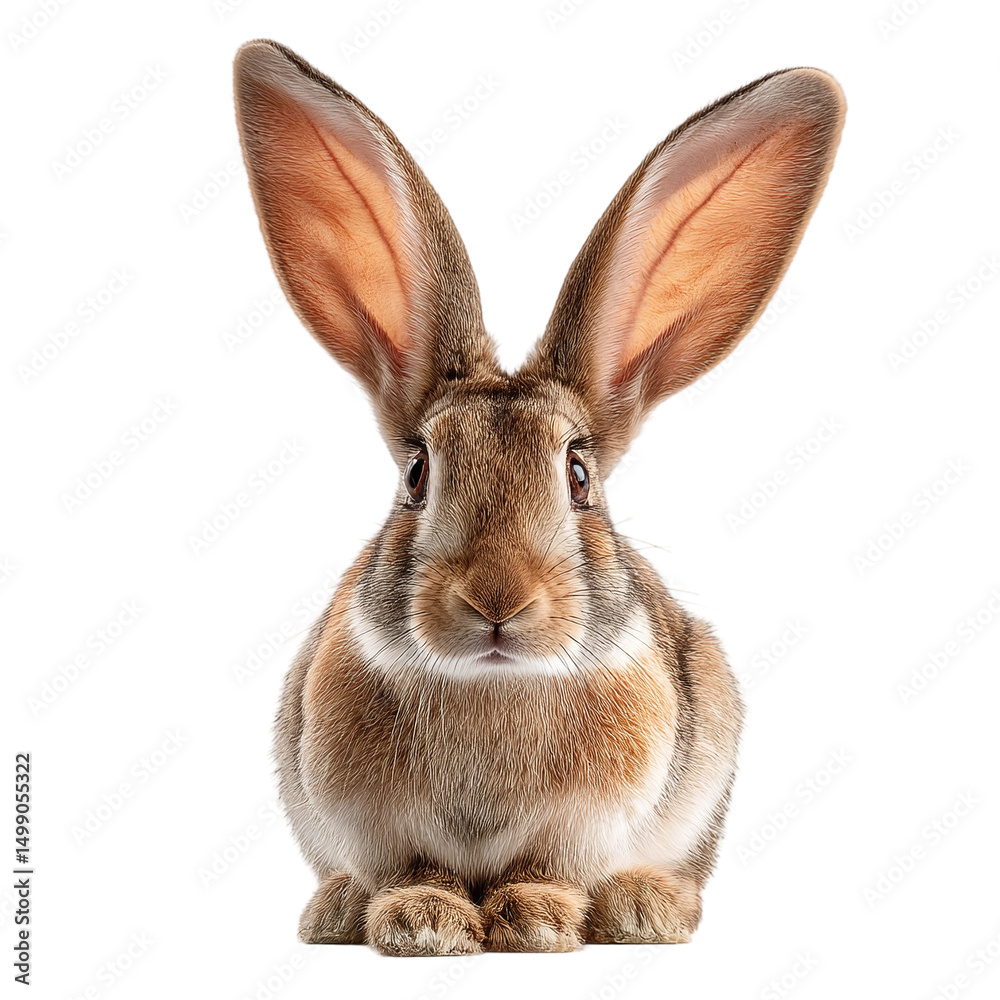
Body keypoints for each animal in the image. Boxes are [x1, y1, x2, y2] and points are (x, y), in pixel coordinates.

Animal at [233, 39, 845, 956]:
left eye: (579, 477)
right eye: (417, 474)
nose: (498, 598)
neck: (491, 687)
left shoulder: (581, 823)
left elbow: (543, 867)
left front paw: (535, 920)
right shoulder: (378, 824)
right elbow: (415, 869)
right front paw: (423, 922)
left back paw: (643, 907)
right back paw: (336, 909)